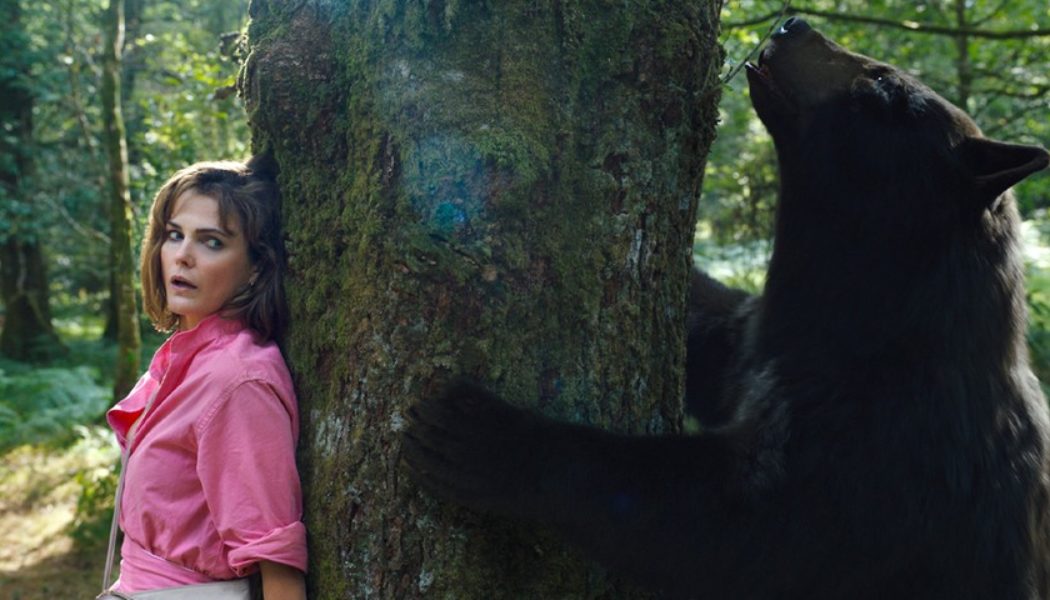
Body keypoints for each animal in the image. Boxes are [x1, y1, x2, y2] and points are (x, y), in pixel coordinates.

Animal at [403, 18, 1050, 599]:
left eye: (883, 85)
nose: (792, 23)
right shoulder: (763, 339)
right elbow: (714, 336)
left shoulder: (885, 452)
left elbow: (735, 530)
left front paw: (487, 437)